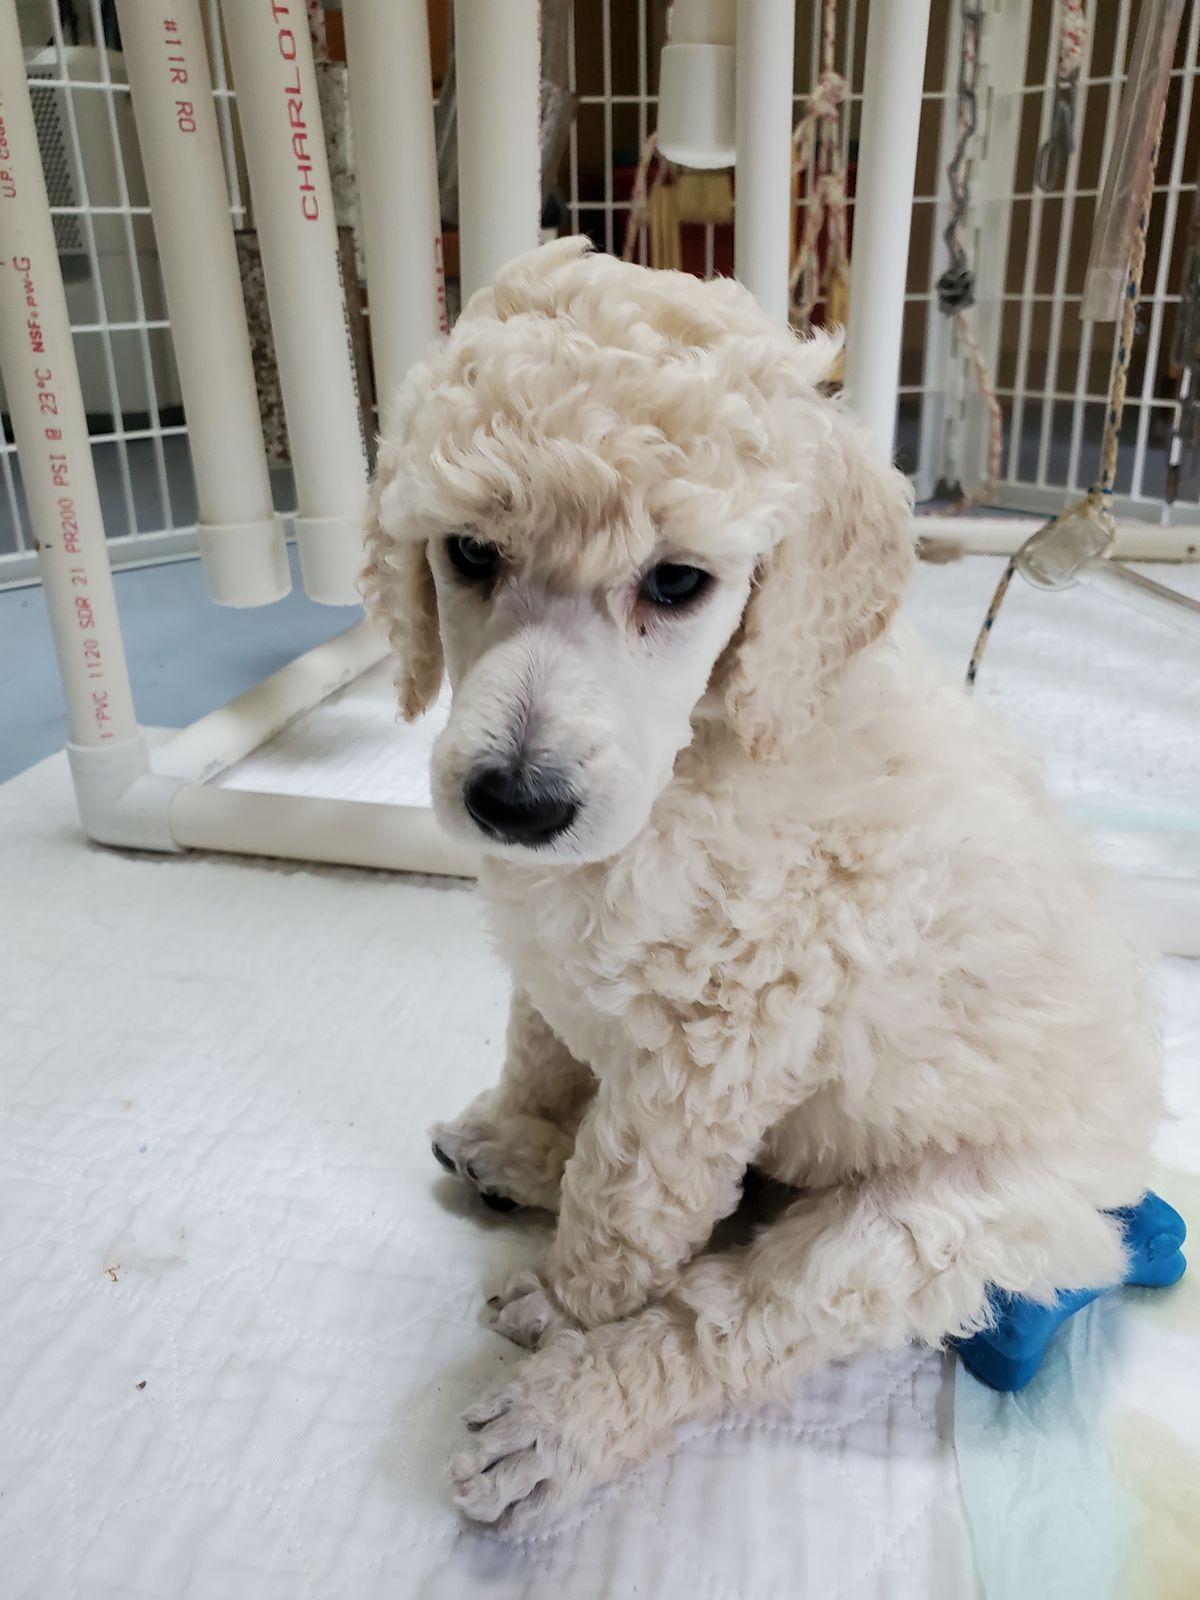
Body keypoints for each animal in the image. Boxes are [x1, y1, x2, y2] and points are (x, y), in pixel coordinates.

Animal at [363, 237, 1161, 1535]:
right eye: (469, 554)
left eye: (677, 583)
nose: (516, 802)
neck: (697, 752)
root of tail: (1120, 1174)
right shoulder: (552, 961)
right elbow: (542, 1050)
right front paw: (531, 1130)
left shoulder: (713, 1048)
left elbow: (627, 1212)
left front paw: (565, 1307)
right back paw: (515, 1168)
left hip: (936, 1225)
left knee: (738, 1316)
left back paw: (562, 1414)